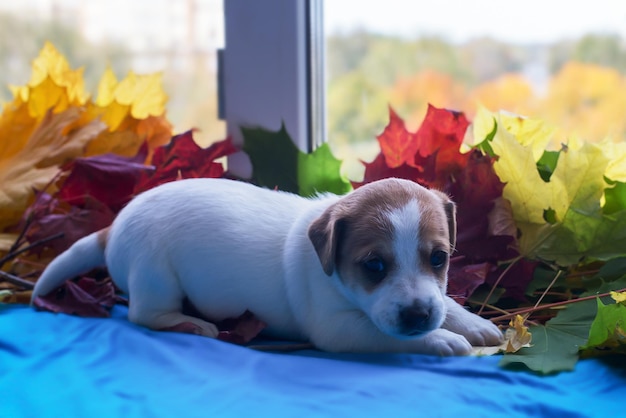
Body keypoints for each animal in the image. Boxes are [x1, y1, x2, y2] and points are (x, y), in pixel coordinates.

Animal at [33, 177, 502, 356]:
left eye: (438, 258)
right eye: (374, 265)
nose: (419, 315)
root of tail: (113, 226)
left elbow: (449, 303)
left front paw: (473, 323)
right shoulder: (337, 330)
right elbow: (387, 336)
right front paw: (443, 339)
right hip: (156, 276)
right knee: (143, 315)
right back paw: (193, 323)